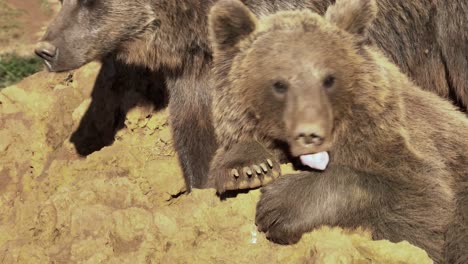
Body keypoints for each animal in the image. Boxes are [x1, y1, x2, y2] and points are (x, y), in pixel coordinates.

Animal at [208, 0, 468, 262]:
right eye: (279, 83)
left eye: (329, 79)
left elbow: (416, 200)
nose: (309, 132)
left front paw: (279, 205)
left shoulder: (397, 142)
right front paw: (250, 169)